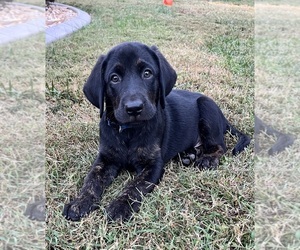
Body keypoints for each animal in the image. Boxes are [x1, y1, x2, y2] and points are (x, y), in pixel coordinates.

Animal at [62, 42, 250, 222]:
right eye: (114, 78)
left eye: (147, 73)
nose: (134, 108)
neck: (129, 132)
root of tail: (224, 118)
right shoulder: (105, 159)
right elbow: (91, 180)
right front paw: (79, 203)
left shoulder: (153, 166)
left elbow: (134, 186)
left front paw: (120, 206)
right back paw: (188, 155)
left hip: (206, 106)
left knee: (220, 146)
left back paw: (207, 159)